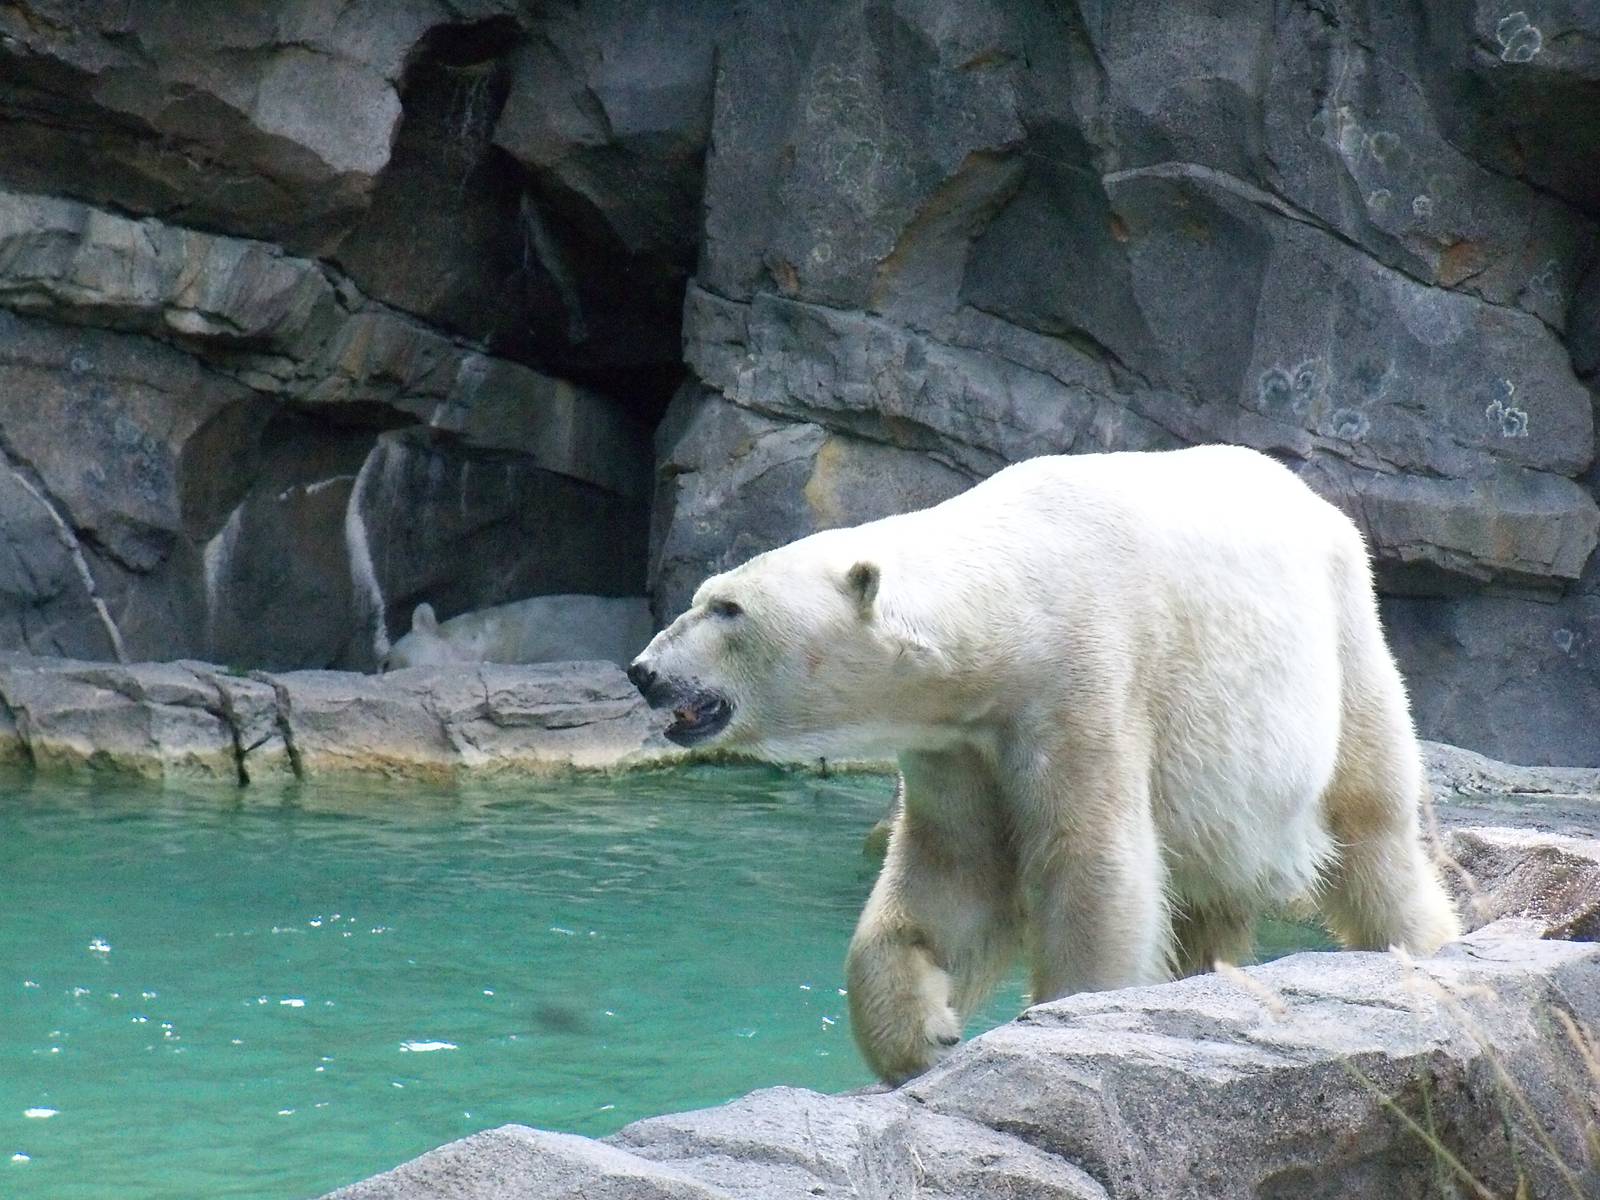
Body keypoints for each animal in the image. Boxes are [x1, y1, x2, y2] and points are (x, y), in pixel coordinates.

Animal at [627, 444, 1461, 1084]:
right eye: (705, 596)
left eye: (728, 609)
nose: (644, 671)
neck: (1010, 604)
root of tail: (1325, 509)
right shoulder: (959, 744)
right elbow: (952, 878)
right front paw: (923, 1036)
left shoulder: (1082, 678)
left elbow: (1092, 864)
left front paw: (1063, 1024)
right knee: (1208, 895)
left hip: (1343, 645)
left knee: (1373, 832)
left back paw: (1426, 944)